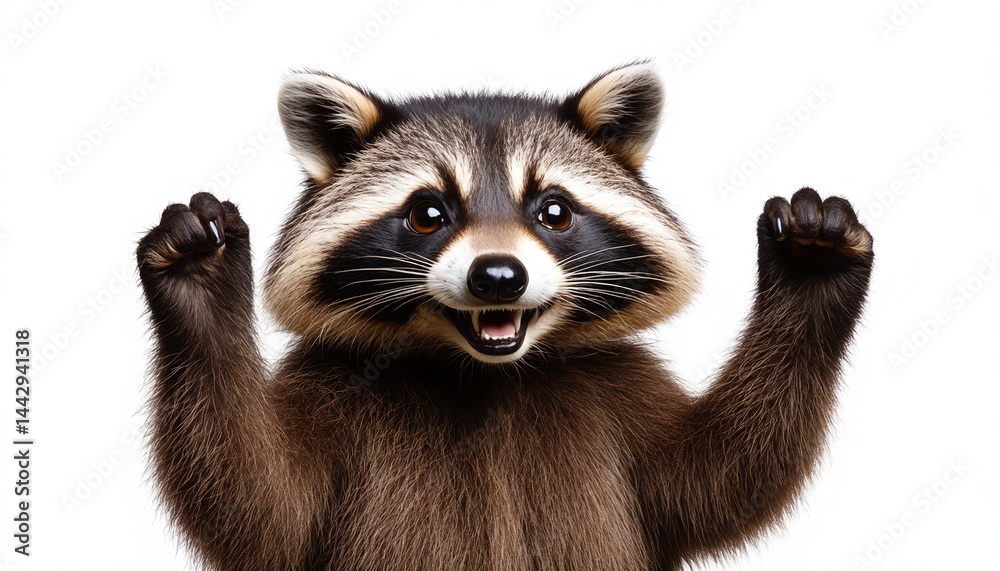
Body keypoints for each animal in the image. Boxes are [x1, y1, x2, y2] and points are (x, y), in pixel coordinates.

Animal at [137, 62, 874, 570]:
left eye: (553, 210)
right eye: (427, 213)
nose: (498, 276)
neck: (485, 370)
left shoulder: (620, 384)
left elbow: (710, 479)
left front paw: (810, 273)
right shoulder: (336, 387)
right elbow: (268, 506)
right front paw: (200, 286)